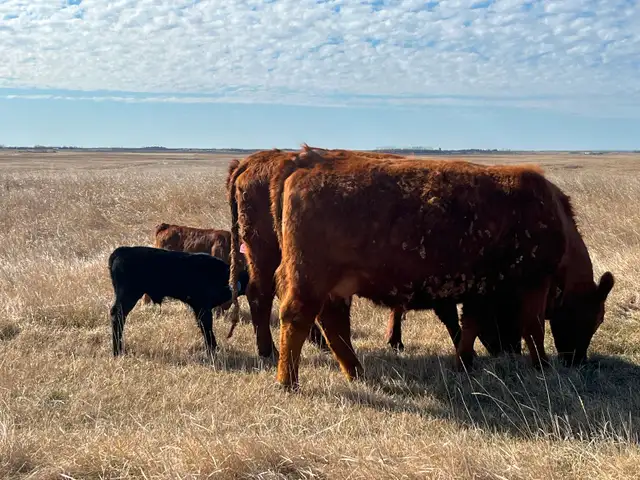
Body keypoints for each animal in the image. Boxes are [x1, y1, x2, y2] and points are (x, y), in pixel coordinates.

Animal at [109, 245, 250, 357]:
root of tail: (122, 251)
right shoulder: (202, 306)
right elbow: (207, 327)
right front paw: (213, 350)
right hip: (128, 295)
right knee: (117, 315)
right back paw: (117, 351)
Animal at [225, 148, 505, 362]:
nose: (501, 349)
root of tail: (249, 163)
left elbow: (401, 307)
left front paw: (395, 341)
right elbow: (447, 315)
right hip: (267, 255)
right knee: (262, 294)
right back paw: (270, 351)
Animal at [268, 145, 614, 390]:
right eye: (595, 317)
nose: (578, 361)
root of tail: (306, 161)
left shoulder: (479, 290)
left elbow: (470, 327)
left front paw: (464, 363)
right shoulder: (534, 284)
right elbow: (533, 328)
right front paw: (541, 365)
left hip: (336, 286)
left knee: (334, 325)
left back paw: (356, 372)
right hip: (309, 278)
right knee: (297, 318)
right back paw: (288, 382)